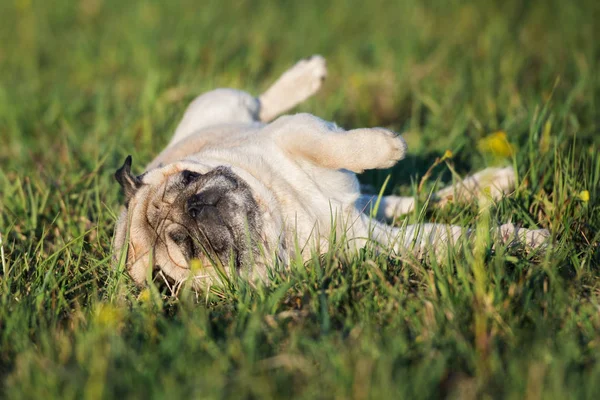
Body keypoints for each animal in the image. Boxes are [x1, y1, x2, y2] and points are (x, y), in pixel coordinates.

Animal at [112, 54, 548, 290]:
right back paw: (488, 186)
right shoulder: (385, 243)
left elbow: (330, 144)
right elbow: (457, 238)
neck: (279, 222)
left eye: (188, 179)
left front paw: (387, 147)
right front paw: (523, 241)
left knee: (261, 103)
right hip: (371, 211)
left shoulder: (292, 130)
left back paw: (307, 74)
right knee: (404, 203)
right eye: (188, 248)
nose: (197, 207)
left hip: (220, 103)